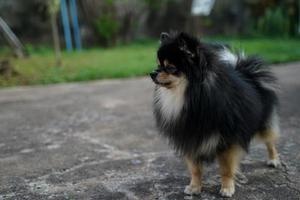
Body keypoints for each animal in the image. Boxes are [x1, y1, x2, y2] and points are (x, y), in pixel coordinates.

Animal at [151, 32, 280, 198]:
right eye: (158, 65)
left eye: (170, 68)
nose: (152, 73)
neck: (191, 97)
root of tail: (248, 74)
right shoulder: (189, 137)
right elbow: (195, 168)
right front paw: (194, 187)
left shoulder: (226, 140)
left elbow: (226, 168)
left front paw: (227, 188)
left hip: (263, 123)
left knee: (270, 141)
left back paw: (274, 160)